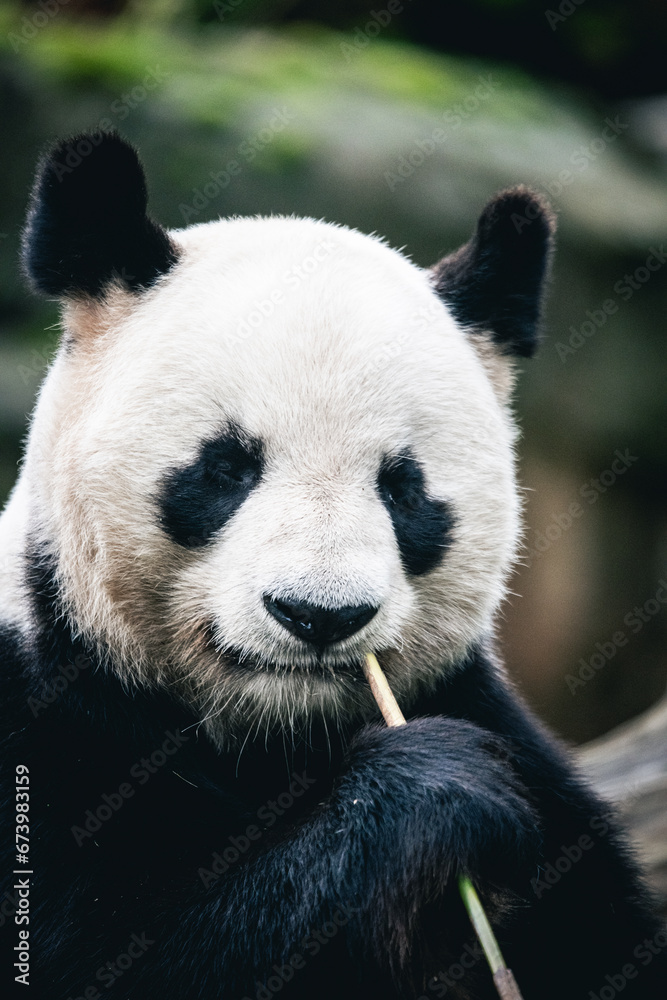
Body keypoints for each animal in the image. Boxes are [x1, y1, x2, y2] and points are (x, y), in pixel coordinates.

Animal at [0, 132, 664, 1000]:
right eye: (226, 467)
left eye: (402, 486)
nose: (319, 615)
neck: (275, 736)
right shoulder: (48, 727)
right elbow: (127, 960)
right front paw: (432, 792)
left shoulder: (515, 754)